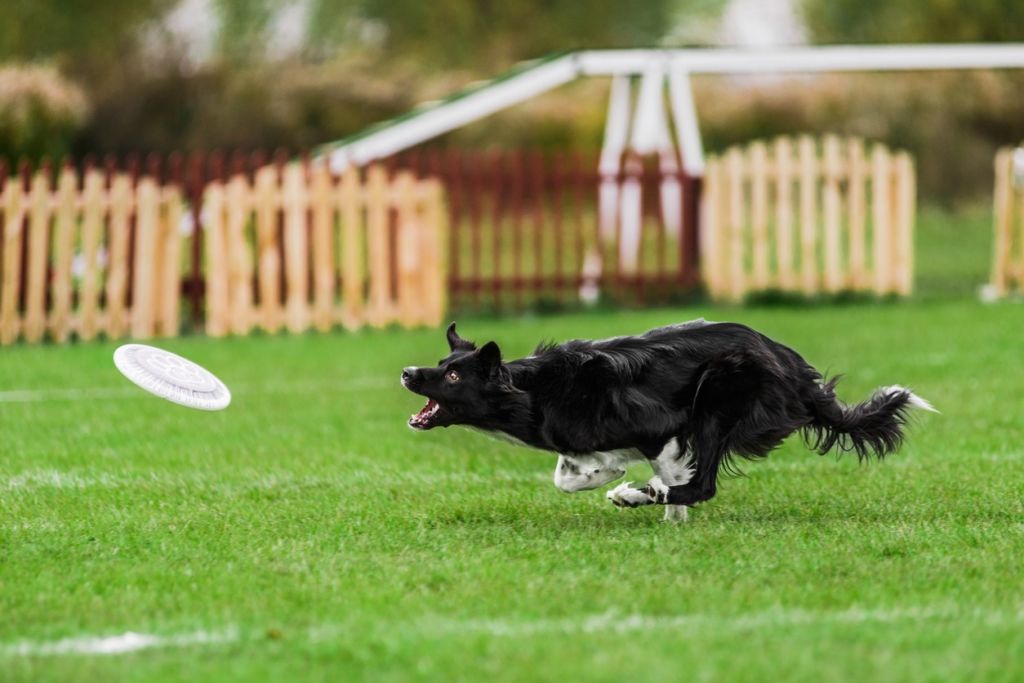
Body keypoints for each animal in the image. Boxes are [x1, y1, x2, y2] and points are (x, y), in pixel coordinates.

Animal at [401, 323, 937, 520]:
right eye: (442, 363)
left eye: (452, 374)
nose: (408, 372)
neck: (532, 391)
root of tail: (797, 371)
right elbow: (567, 473)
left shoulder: (658, 428)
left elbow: (664, 477)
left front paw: (638, 491)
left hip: (718, 394)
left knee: (705, 485)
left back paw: (646, 495)